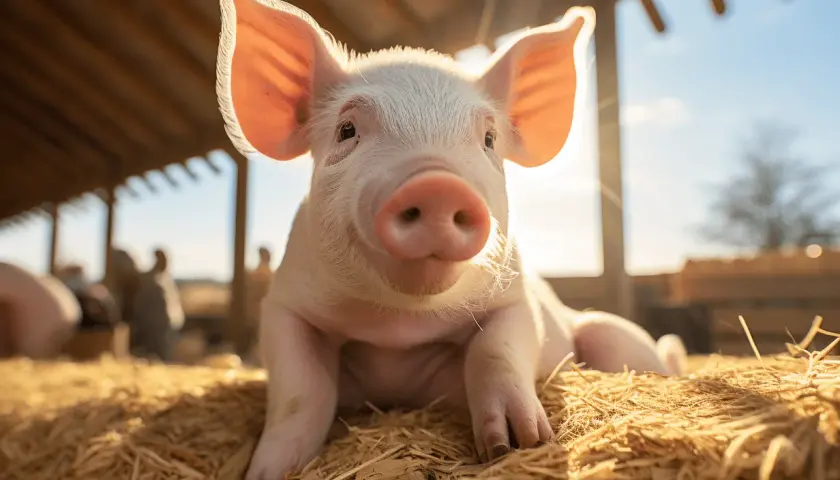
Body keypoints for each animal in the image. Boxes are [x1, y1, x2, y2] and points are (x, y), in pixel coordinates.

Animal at [215, 0, 689, 478]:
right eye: (347, 130)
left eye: (489, 139)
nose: (437, 185)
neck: (397, 330)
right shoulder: (285, 307)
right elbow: (300, 394)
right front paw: (266, 470)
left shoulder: (515, 301)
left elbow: (496, 352)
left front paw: (518, 443)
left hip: (615, 337)